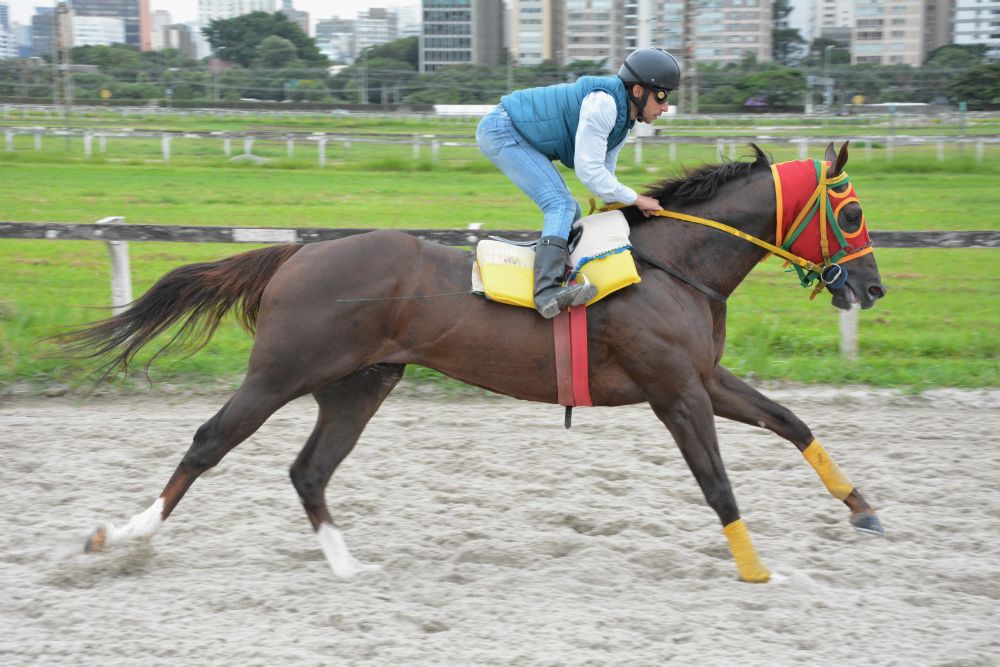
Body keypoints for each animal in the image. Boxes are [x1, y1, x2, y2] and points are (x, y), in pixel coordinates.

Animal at [58, 142, 887, 583]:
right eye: (850, 214)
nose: (873, 288)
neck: (674, 264)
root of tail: (297, 254)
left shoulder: (704, 379)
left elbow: (790, 421)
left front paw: (862, 507)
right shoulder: (675, 390)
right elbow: (717, 482)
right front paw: (755, 569)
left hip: (358, 384)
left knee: (309, 469)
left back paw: (346, 565)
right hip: (280, 373)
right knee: (209, 442)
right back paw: (122, 536)